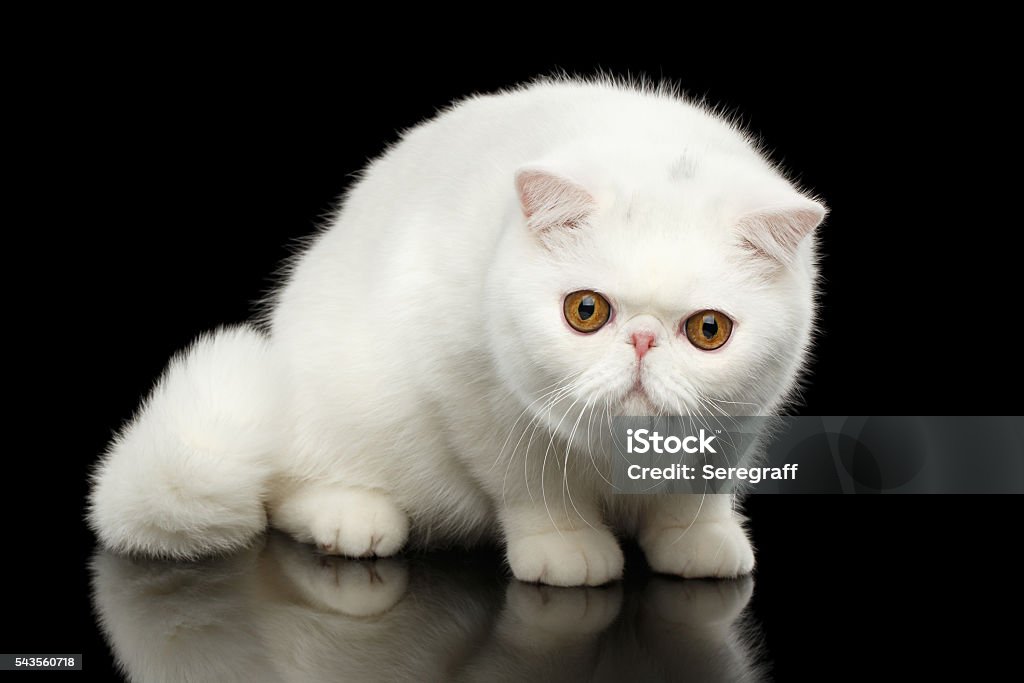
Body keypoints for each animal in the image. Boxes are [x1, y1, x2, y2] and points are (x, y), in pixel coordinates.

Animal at [88, 76, 823, 589]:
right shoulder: (475, 398)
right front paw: (566, 548)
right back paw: (352, 519)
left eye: (708, 330)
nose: (641, 342)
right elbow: (535, 488)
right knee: (286, 490)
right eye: (585, 311)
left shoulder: (740, 421)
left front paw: (697, 540)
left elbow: (695, 491)